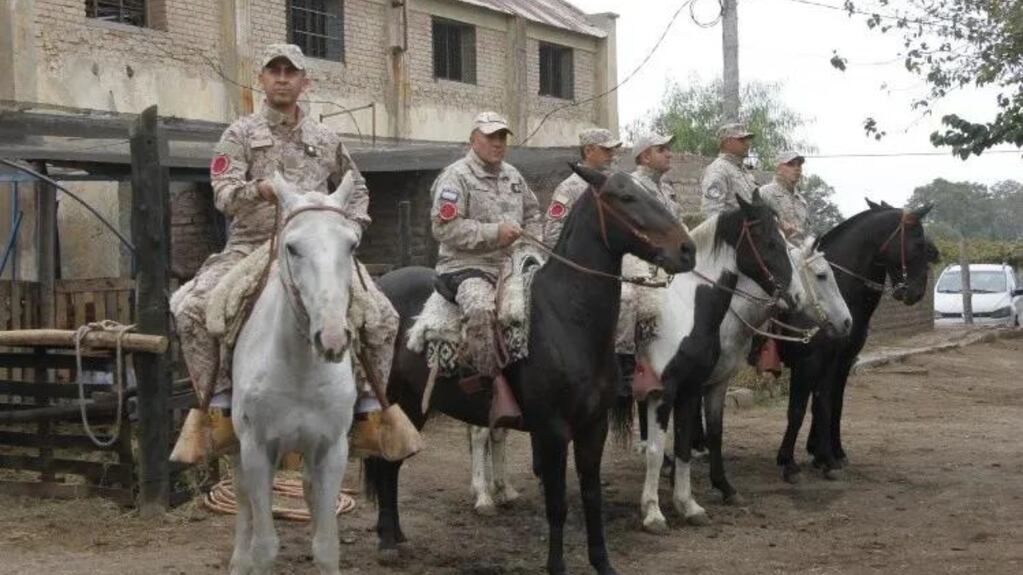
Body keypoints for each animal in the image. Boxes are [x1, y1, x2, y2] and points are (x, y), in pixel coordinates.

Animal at [228, 174, 360, 572]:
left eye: (351, 245)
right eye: (292, 248)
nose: (332, 338)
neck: (300, 371)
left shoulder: (332, 449)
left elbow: (327, 545)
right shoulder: (257, 450)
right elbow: (265, 546)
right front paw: (251, 557)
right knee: (242, 499)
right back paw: (237, 561)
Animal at [368, 163, 695, 568]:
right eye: (626, 196)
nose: (687, 249)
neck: (566, 320)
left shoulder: (593, 427)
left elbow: (592, 498)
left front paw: (602, 563)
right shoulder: (551, 430)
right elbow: (557, 506)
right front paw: (556, 566)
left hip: (413, 403)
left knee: (391, 464)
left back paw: (395, 534)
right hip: (393, 398)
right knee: (384, 462)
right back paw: (386, 542)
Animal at [773, 201, 937, 478]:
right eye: (918, 243)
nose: (917, 292)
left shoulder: (842, 360)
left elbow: (832, 403)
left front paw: (830, 452)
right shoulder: (811, 360)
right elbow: (806, 406)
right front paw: (807, 458)